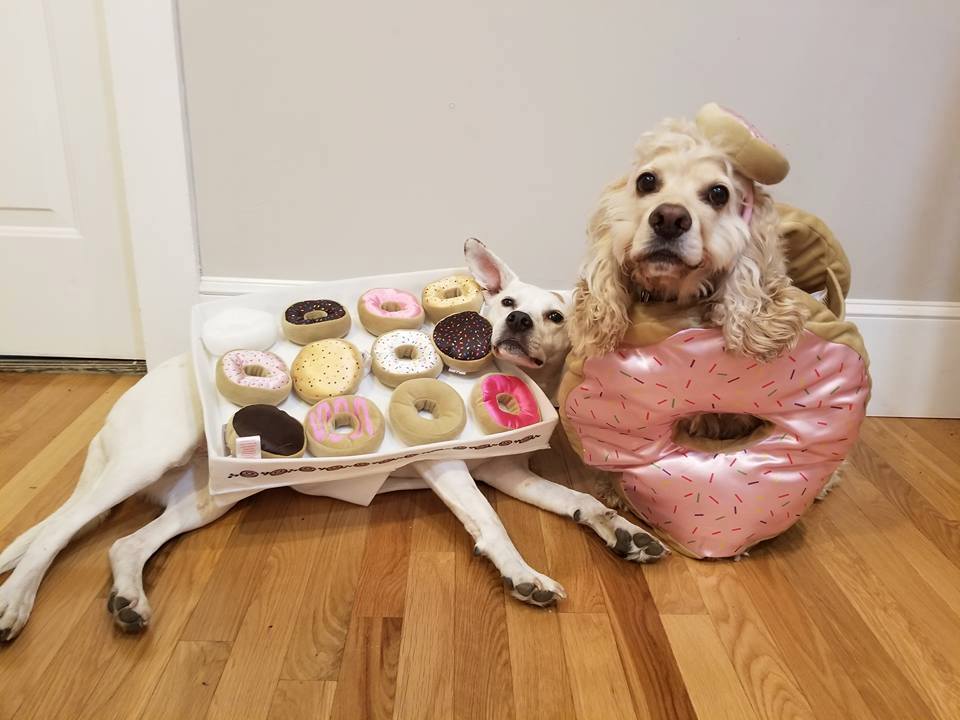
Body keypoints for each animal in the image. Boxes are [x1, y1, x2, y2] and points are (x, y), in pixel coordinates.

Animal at [0, 239, 664, 640]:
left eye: (554, 317)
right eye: (504, 301)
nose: (518, 321)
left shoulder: (505, 470)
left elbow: (581, 500)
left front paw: (622, 530)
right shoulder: (447, 465)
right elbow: (490, 522)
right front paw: (522, 573)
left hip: (210, 496)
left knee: (123, 545)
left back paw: (128, 600)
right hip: (146, 459)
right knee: (55, 534)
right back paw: (16, 601)